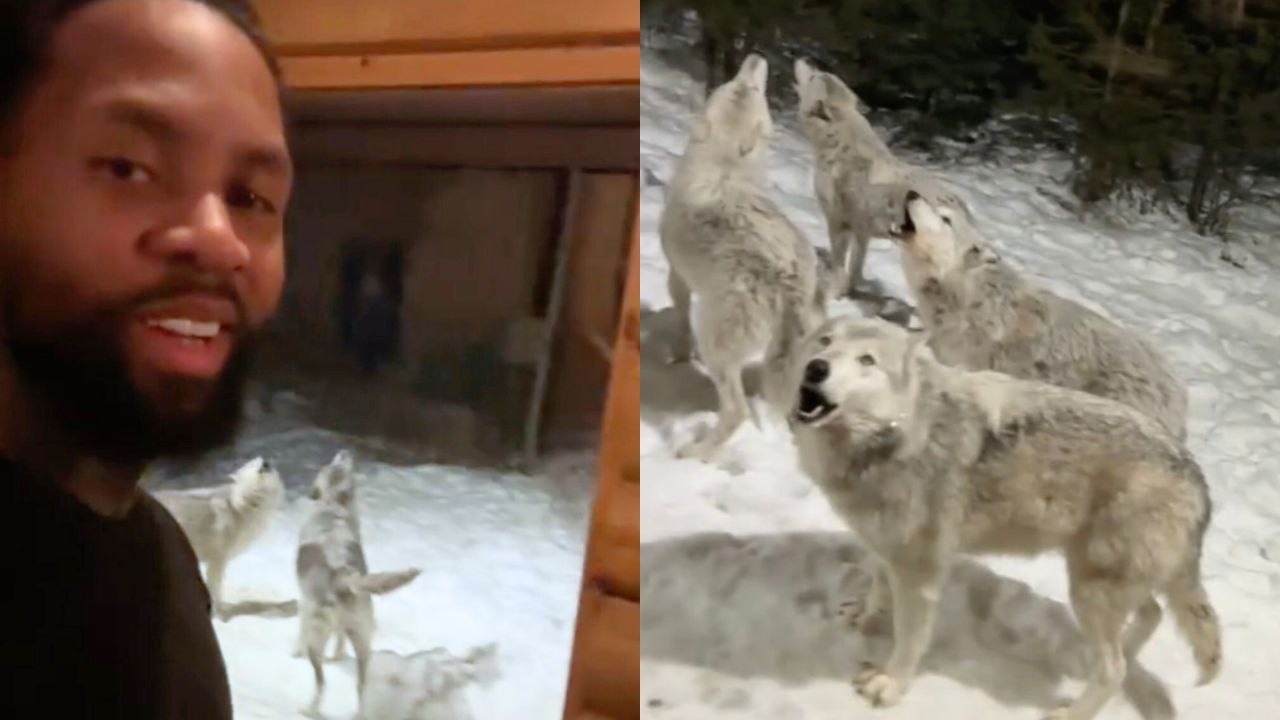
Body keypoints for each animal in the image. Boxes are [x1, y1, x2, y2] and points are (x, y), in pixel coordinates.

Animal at [153, 456, 285, 619]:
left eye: (259, 460)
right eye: (256, 467)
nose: (265, 462)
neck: (240, 507)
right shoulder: (217, 560)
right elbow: (215, 588)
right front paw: (220, 615)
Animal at [295, 449, 422, 718]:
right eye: (332, 463)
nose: (345, 452)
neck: (331, 506)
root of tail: (343, 575)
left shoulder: (303, 604)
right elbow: (340, 641)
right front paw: (338, 655)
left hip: (317, 641)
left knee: (320, 682)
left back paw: (309, 709)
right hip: (364, 642)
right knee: (361, 685)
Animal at [659, 53, 825, 461]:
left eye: (750, 87)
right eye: (739, 84)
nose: (755, 56)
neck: (727, 164)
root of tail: (789, 278)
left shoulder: (677, 276)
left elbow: (680, 321)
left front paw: (679, 356)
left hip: (718, 347)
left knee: (736, 412)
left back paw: (694, 453)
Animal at [786, 316, 1220, 719]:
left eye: (867, 361)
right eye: (825, 342)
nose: (816, 368)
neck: (902, 434)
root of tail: (1198, 479)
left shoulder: (920, 571)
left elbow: (910, 640)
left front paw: (890, 686)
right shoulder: (886, 545)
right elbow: (878, 587)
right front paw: (864, 616)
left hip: (1090, 590)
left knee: (1114, 669)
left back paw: (1073, 712)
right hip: (1104, 583)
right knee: (1150, 617)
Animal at [793, 58, 975, 299]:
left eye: (815, 76)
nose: (806, 60)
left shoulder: (838, 224)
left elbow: (838, 265)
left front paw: (834, 294)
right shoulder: (861, 233)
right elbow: (855, 269)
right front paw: (849, 291)